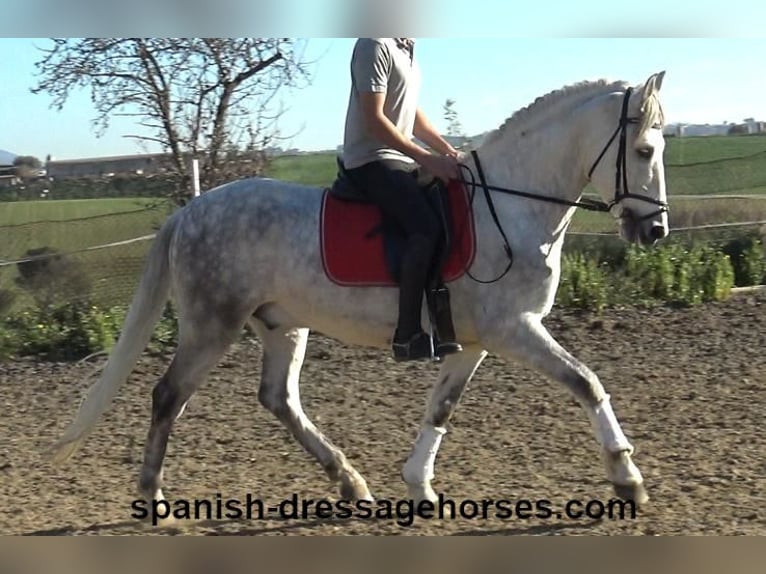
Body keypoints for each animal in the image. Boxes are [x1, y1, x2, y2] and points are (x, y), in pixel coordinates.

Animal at [51, 71, 668, 516]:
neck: (511, 205)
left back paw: (350, 482)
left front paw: (420, 486)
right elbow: (587, 383)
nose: (654, 229)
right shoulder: (514, 328)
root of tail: (190, 211)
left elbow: (442, 407)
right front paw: (627, 479)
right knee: (167, 396)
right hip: (211, 325)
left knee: (278, 398)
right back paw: (153, 497)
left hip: (281, 324)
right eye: (642, 150)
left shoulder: (474, 342)